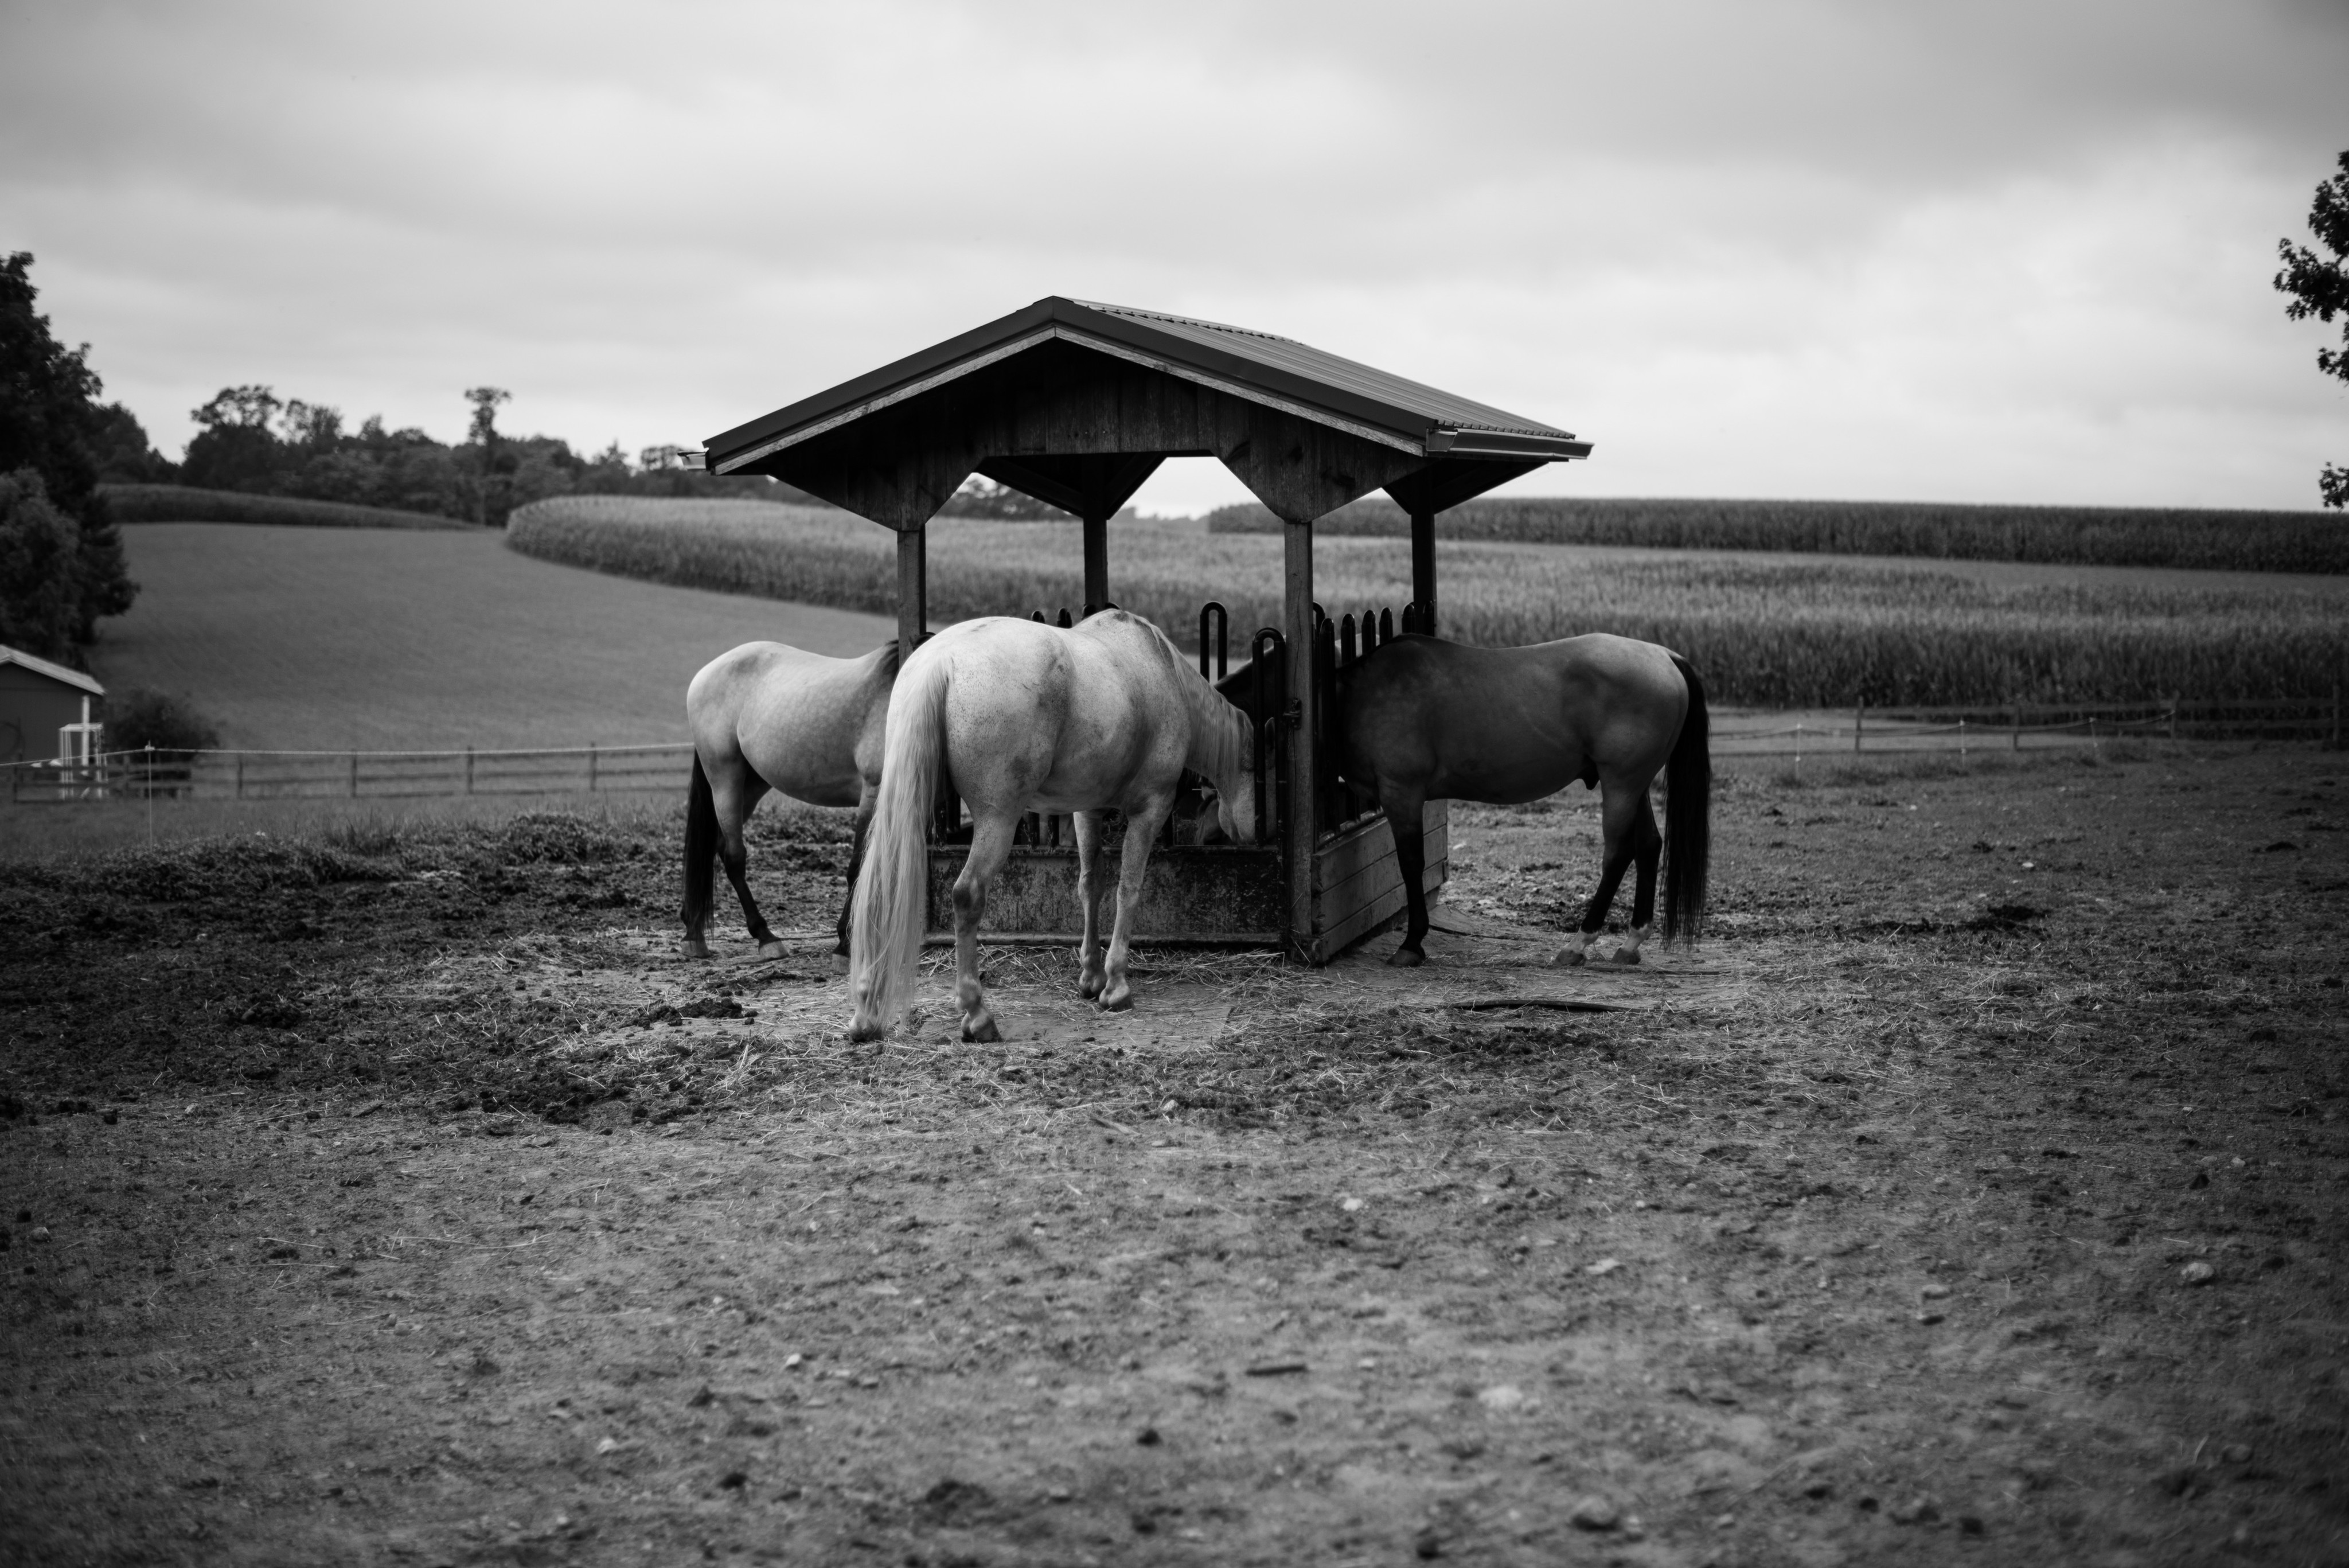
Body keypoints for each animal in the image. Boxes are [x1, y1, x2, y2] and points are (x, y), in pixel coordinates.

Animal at [686, 639, 902, 964]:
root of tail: (705, 673)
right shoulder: (874, 791)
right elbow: (859, 865)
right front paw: (845, 944)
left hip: (752, 785)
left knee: (714, 847)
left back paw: (694, 931)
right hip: (724, 779)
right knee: (733, 857)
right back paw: (765, 938)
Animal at [850, 611, 1259, 1043]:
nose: (1251, 831)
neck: (1161, 667)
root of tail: (941, 662)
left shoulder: (1087, 810)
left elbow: (1090, 885)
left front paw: (1092, 977)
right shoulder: (1151, 810)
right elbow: (1128, 890)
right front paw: (1116, 986)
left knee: (880, 891)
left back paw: (866, 1014)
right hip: (998, 820)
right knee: (966, 894)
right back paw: (977, 1015)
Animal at [1343, 634, 1710, 973]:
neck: (1366, 690)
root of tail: (1664, 655)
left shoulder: (1402, 793)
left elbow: (1410, 865)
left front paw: (1411, 943)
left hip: (1621, 784)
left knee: (1618, 855)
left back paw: (1578, 944)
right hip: (1637, 786)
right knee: (1649, 845)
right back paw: (1632, 942)